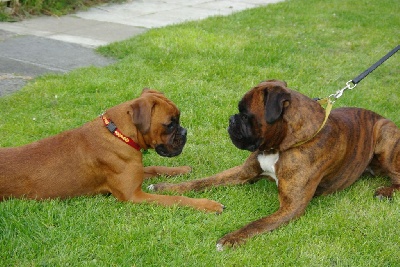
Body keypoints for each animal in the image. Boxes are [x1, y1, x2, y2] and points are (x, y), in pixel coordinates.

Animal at [0, 89, 225, 215]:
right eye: (170, 124)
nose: (185, 132)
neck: (118, 133)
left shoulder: (137, 171)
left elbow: (155, 167)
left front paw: (181, 169)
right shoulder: (134, 195)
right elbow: (177, 199)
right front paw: (208, 205)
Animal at [149, 80, 400, 251]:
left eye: (245, 115)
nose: (231, 119)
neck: (280, 146)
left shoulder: (291, 206)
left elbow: (257, 224)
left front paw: (230, 238)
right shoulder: (243, 173)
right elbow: (201, 182)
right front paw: (164, 187)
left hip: (385, 136)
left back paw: (385, 192)